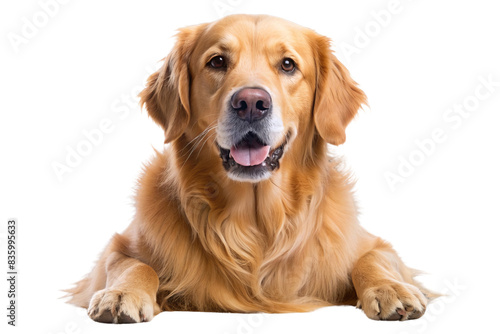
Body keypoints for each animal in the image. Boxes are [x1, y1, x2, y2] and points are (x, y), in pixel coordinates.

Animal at [66, 13, 434, 324]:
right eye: (217, 61)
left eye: (287, 64)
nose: (252, 103)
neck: (255, 223)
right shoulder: (116, 249)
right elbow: (133, 264)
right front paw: (121, 293)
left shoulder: (372, 244)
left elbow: (373, 258)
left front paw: (390, 288)